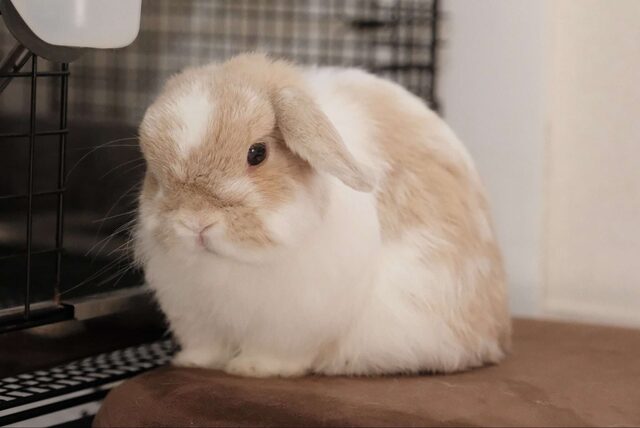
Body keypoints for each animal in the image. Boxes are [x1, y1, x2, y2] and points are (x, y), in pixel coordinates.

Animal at [134, 53, 511, 378]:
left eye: (257, 153)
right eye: (153, 169)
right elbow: (207, 346)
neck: (230, 265)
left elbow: (276, 352)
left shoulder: (292, 323)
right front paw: (192, 362)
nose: (195, 222)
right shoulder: (196, 316)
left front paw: (252, 368)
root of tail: (494, 339)